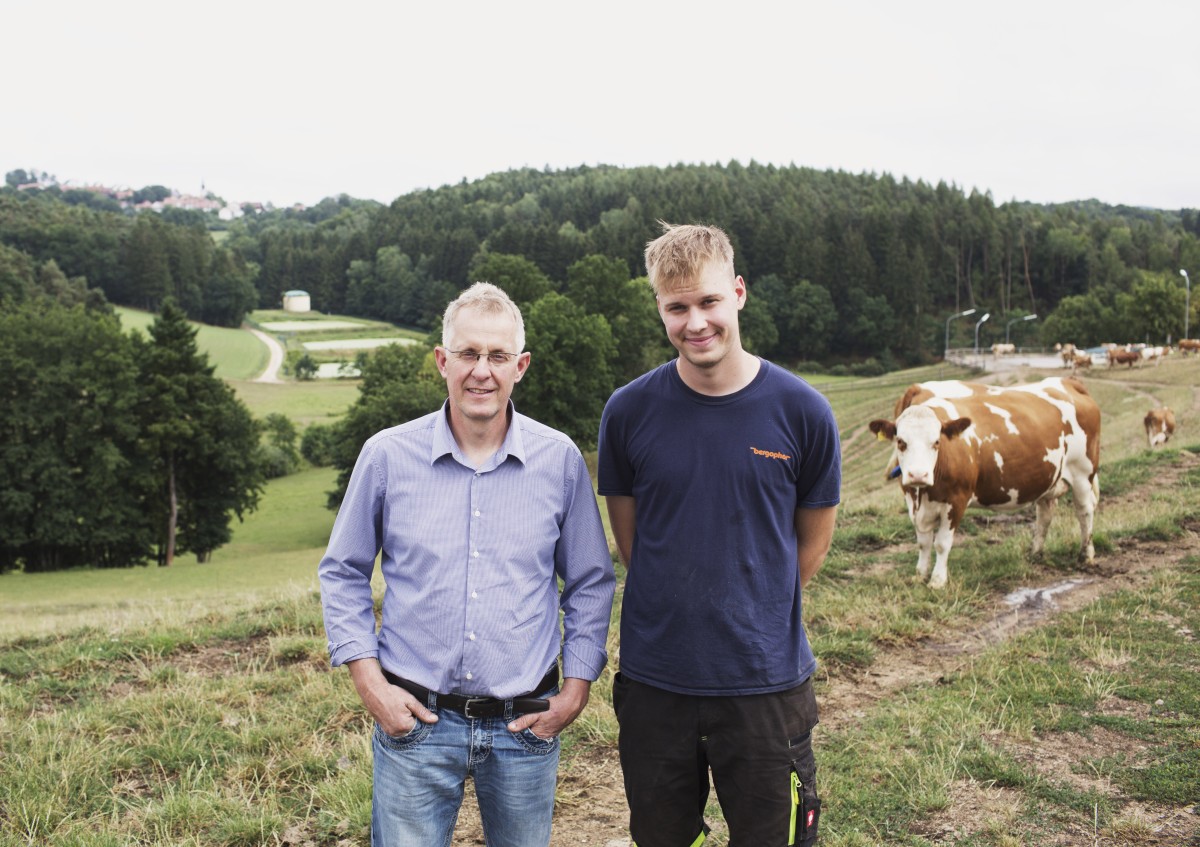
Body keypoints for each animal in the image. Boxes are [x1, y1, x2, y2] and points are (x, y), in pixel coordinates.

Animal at [868, 376, 1099, 587]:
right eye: (900, 442)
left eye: (936, 442)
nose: (918, 475)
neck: (923, 494)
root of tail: (1067, 381)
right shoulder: (914, 502)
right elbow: (923, 542)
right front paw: (920, 576)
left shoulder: (956, 500)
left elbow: (941, 543)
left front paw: (937, 581)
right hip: (1048, 477)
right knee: (1045, 514)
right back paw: (1035, 553)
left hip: (1083, 472)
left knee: (1084, 511)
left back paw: (1085, 555)